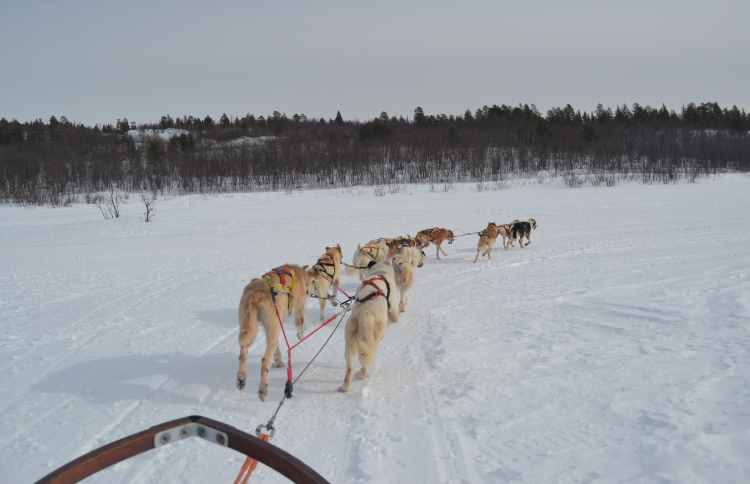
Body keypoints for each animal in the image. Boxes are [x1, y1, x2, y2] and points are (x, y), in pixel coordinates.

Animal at [236, 264, 310, 400]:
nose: (308, 292)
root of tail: (256, 294)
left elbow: (276, 349)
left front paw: (278, 360)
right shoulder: (298, 310)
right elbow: (300, 324)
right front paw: (301, 336)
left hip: (251, 327)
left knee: (243, 352)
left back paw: (241, 379)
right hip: (272, 328)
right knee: (265, 361)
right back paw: (263, 390)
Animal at [340, 260, 402, 394]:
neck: (380, 272)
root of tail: (364, 313)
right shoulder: (393, 307)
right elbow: (395, 316)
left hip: (349, 343)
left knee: (349, 368)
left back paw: (345, 386)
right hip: (372, 340)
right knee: (366, 360)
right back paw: (363, 374)